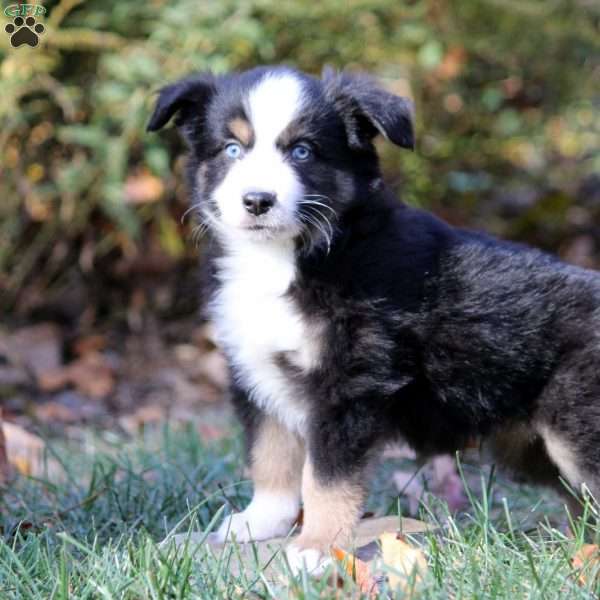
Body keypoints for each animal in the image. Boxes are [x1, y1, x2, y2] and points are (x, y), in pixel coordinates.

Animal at [146, 65, 600, 572]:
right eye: (231, 149)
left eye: (303, 151)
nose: (258, 200)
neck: (293, 255)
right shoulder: (256, 371)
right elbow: (271, 455)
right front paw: (259, 522)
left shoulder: (351, 385)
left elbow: (326, 479)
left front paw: (314, 549)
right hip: (531, 445)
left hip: (577, 426)